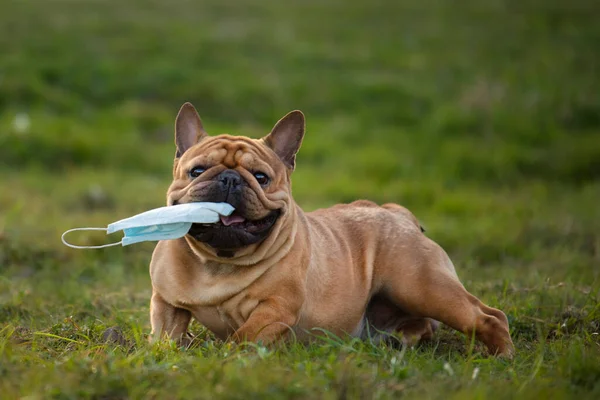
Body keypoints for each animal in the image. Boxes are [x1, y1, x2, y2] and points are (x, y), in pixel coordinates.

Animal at [148, 102, 512, 356]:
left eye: (261, 177)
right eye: (197, 171)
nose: (229, 179)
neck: (219, 261)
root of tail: (396, 213)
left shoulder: (275, 310)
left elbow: (243, 337)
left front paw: (226, 356)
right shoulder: (165, 303)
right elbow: (166, 333)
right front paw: (164, 351)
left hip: (422, 287)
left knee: (488, 317)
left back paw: (502, 355)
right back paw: (399, 341)